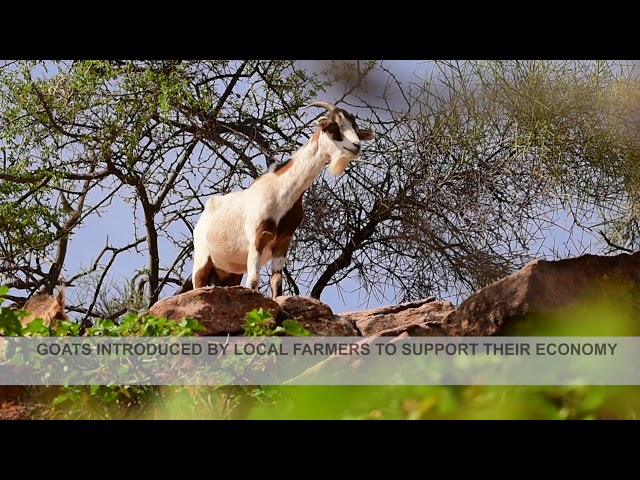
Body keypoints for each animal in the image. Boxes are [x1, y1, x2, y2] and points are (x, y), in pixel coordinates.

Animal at [189, 101, 374, 298]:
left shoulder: (283, 242)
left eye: (355, 128)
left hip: (229, 271)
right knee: (198, 284)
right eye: (334, 126)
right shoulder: (259, 237)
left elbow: (277, 282)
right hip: (202, 258)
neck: (281, 191)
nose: (356, 146)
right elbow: (253, 282)